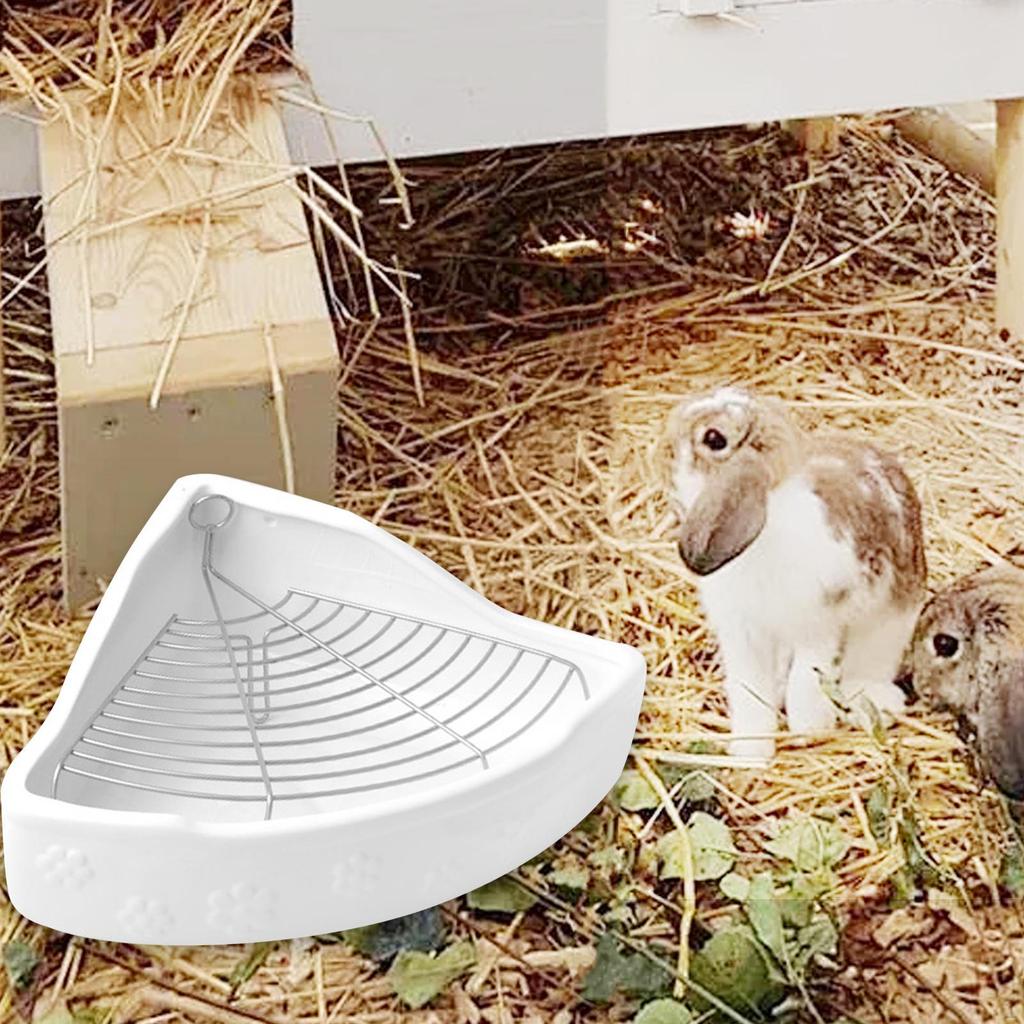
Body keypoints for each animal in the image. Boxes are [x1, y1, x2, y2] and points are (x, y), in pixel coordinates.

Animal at [665, 386, 926, 762]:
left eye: (713, 438)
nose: (664, 447)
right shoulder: (743, 635)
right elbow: (748, 692)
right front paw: (750, 753)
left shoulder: (817, 626)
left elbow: (805, 681)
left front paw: (809, 731)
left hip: (889, 624)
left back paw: (872, 701)